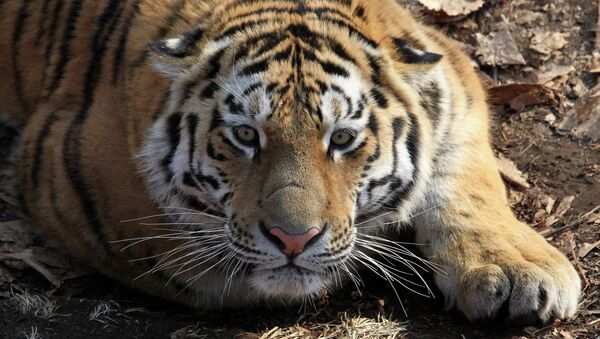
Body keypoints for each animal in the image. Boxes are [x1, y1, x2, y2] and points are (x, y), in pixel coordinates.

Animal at [0, 0, 580, 326]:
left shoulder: (453, 77)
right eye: (244, 135)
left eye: (342, 138)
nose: (293, 240)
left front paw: (518, 273)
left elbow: (467, 182)